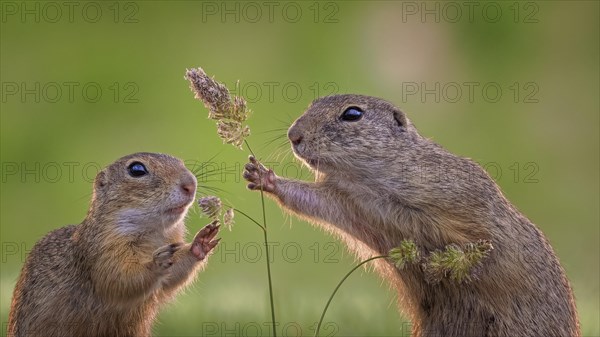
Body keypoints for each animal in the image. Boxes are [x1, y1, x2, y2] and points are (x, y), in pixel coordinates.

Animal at [8, 152, 220, 336]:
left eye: (180, 162)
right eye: (136, 169)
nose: (190, 184)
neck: (154, 234)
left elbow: (171, 279)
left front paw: (200, 243)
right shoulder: (103, 252)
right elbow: (119, 279)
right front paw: (156, 263)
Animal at [244, 94, 580, 336]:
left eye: (352, 114)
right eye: (312, 104)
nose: (293, 135)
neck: (367, 183)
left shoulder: (460, 190)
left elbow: (485, 238)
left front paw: (443, 266)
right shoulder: (345, 203)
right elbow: (310, 201)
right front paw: (261, 176)